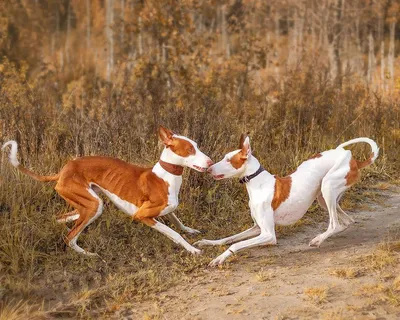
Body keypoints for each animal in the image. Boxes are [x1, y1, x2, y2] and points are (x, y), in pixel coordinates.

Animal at [2, 126, 212, 256]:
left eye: (197, 146)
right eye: (190, 149)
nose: (210, 162)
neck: (165, 176)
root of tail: (63, 171)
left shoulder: (167, 208)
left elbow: (176, 219)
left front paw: (189, 230)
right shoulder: (142, 215)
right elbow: (174, 233)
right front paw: (192, 249)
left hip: (84, 204)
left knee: (61, 220)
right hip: (94, 205)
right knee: (70, 238)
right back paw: (87, 255)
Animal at [195, 134, 380, 264]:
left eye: (228, 160)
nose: (208, 168)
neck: (258, 183)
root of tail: (353, 159)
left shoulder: (268, 234)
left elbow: (235, 244)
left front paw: (219, 258)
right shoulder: (256, 228)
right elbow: (229, 238)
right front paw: (208, 242)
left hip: (327, 188)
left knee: (335, 224)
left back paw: (318, 239)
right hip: (323, 197)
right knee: (347, 221)